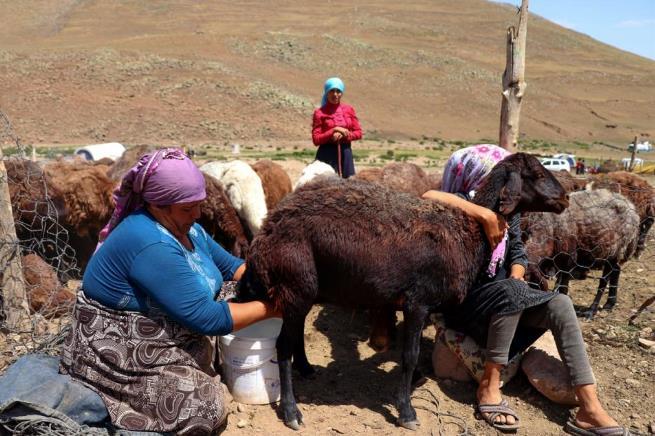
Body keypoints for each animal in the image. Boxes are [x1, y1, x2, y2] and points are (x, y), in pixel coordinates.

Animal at [240, 152, 568, 430]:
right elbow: (409, 356)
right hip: (295, 285)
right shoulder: (417, 302)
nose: (565, 197)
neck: (469, 229)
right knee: (282, 345)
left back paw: (307, 368)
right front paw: (406, 411)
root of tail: (265, 234)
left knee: (295, 335)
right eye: (538, 173)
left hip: (304, 292)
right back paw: (291, 411)